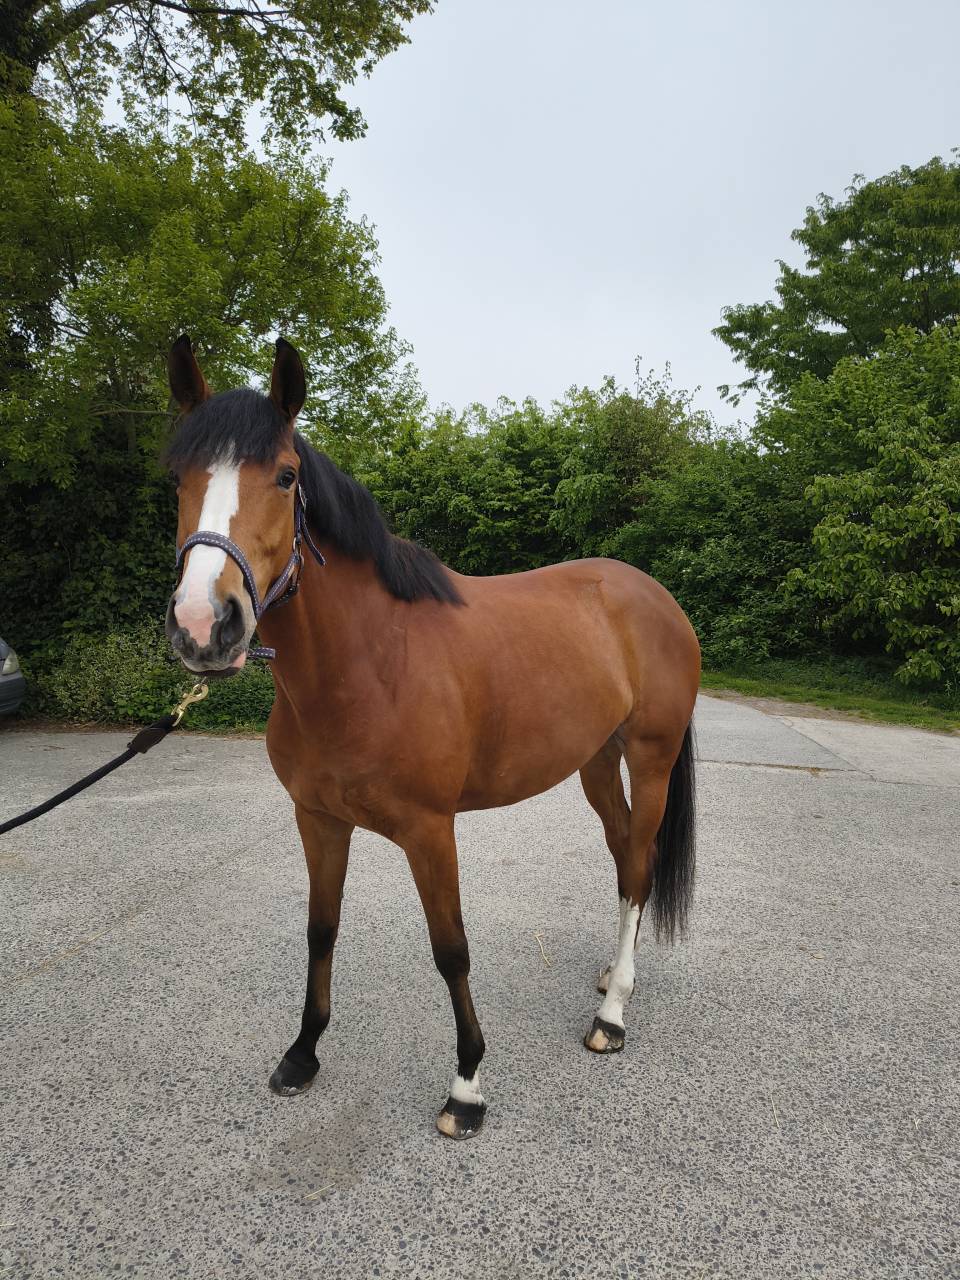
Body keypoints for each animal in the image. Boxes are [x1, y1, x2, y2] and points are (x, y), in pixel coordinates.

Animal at [164, 335, 700, 1140]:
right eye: (176, 478)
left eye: (286, 477)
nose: (205, 626)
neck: (370, 666)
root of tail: (654, 595)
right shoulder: (317, 820)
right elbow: (322, 929)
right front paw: (302, 1053)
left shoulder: (429, 830)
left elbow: (451, 950)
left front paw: (467, 1086)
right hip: (597, 765)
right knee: (623, 860)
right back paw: (616, 976)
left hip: (652, 758)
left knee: (639, 866)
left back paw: (611, 1015)